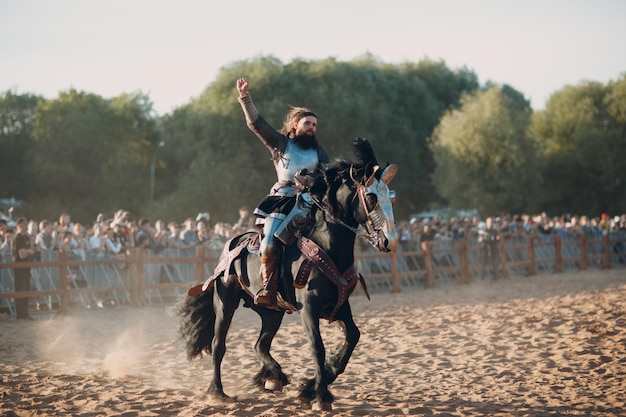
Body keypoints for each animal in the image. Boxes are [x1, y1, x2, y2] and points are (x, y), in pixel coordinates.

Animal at [176, 137, 394, 410]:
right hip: (225, 302)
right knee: (219, 345)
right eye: (372, 198)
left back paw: (273, 378)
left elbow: (353, 336)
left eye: (390, 198)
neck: (327, 246)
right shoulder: (309, 306)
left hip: (272, 312)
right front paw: (320, 396)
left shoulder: (338, 305)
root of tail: (232, 243)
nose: (388, 241)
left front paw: (313, 386)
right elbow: (317, 347)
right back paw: (218, 392)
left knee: (260, 344)